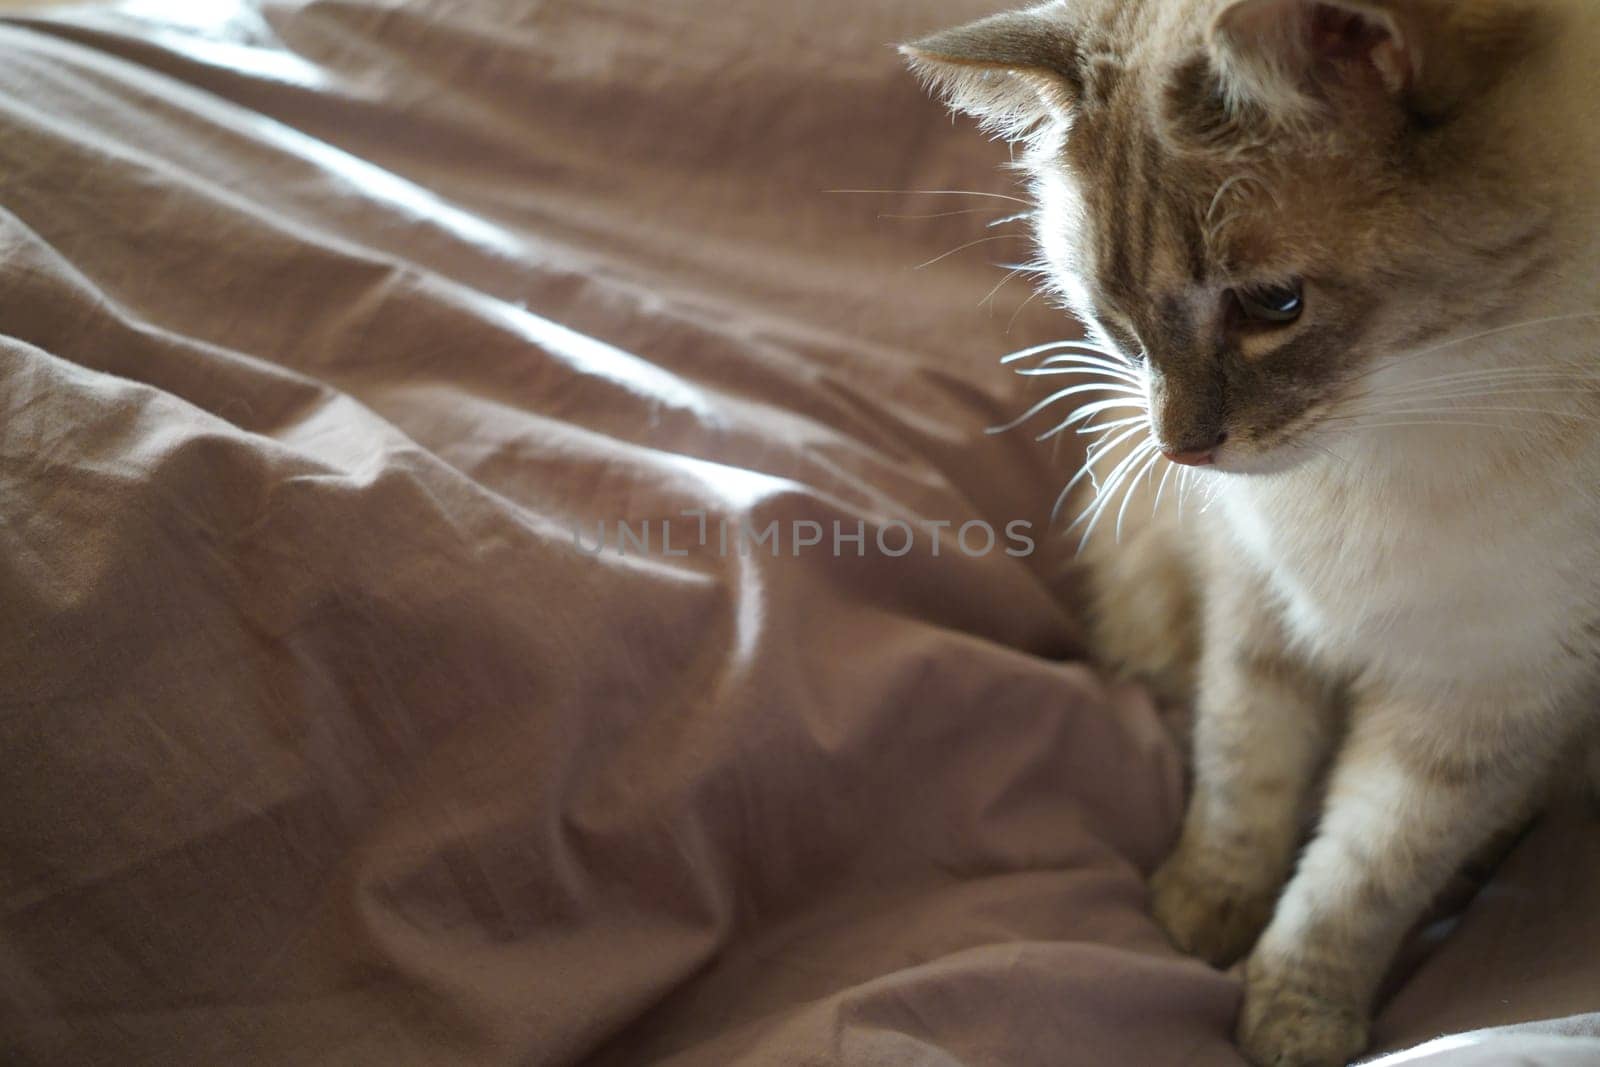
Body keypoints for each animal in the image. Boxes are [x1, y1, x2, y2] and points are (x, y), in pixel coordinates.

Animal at [902, 2, 1600, 1067]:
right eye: (1116, 322)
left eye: (1274, 305)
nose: (1180, 448)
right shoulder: (1259, 604)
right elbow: (1242, 780)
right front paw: (1200, 917)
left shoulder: (1485, 698)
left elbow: (1358, 881)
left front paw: (1293, 1021)